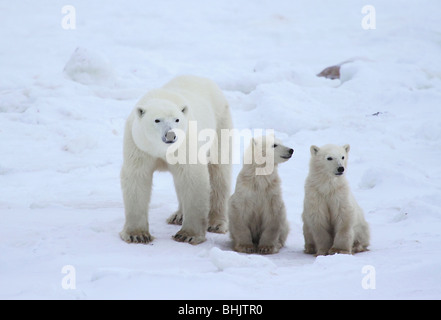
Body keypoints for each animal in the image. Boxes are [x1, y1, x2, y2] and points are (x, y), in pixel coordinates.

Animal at [118, 75, 232, 245]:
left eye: (177, 120)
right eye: (157, 120)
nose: (171, 135)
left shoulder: (186, 143)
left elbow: (193, 177)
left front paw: (187, 235)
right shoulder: (139, 146)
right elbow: (137, 178)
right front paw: (137, 235)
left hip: (219, 125)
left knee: (218, 173)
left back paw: (216, 223)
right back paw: (178, 215)